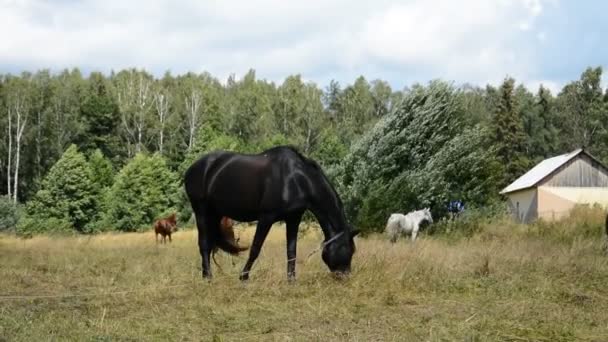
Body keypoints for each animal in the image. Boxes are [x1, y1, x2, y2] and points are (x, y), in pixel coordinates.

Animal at [183, 144, 358, 280]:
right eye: (348, 250)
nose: (344, 276)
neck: (296, 180)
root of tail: (193, 168)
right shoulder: (266, 217)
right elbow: (255, 249)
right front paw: (243, 277)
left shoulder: (293, 218)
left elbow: (291, 251)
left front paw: (291, 280)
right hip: (201, 210)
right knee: (204, 244)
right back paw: (208, 277)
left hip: (216, 213)